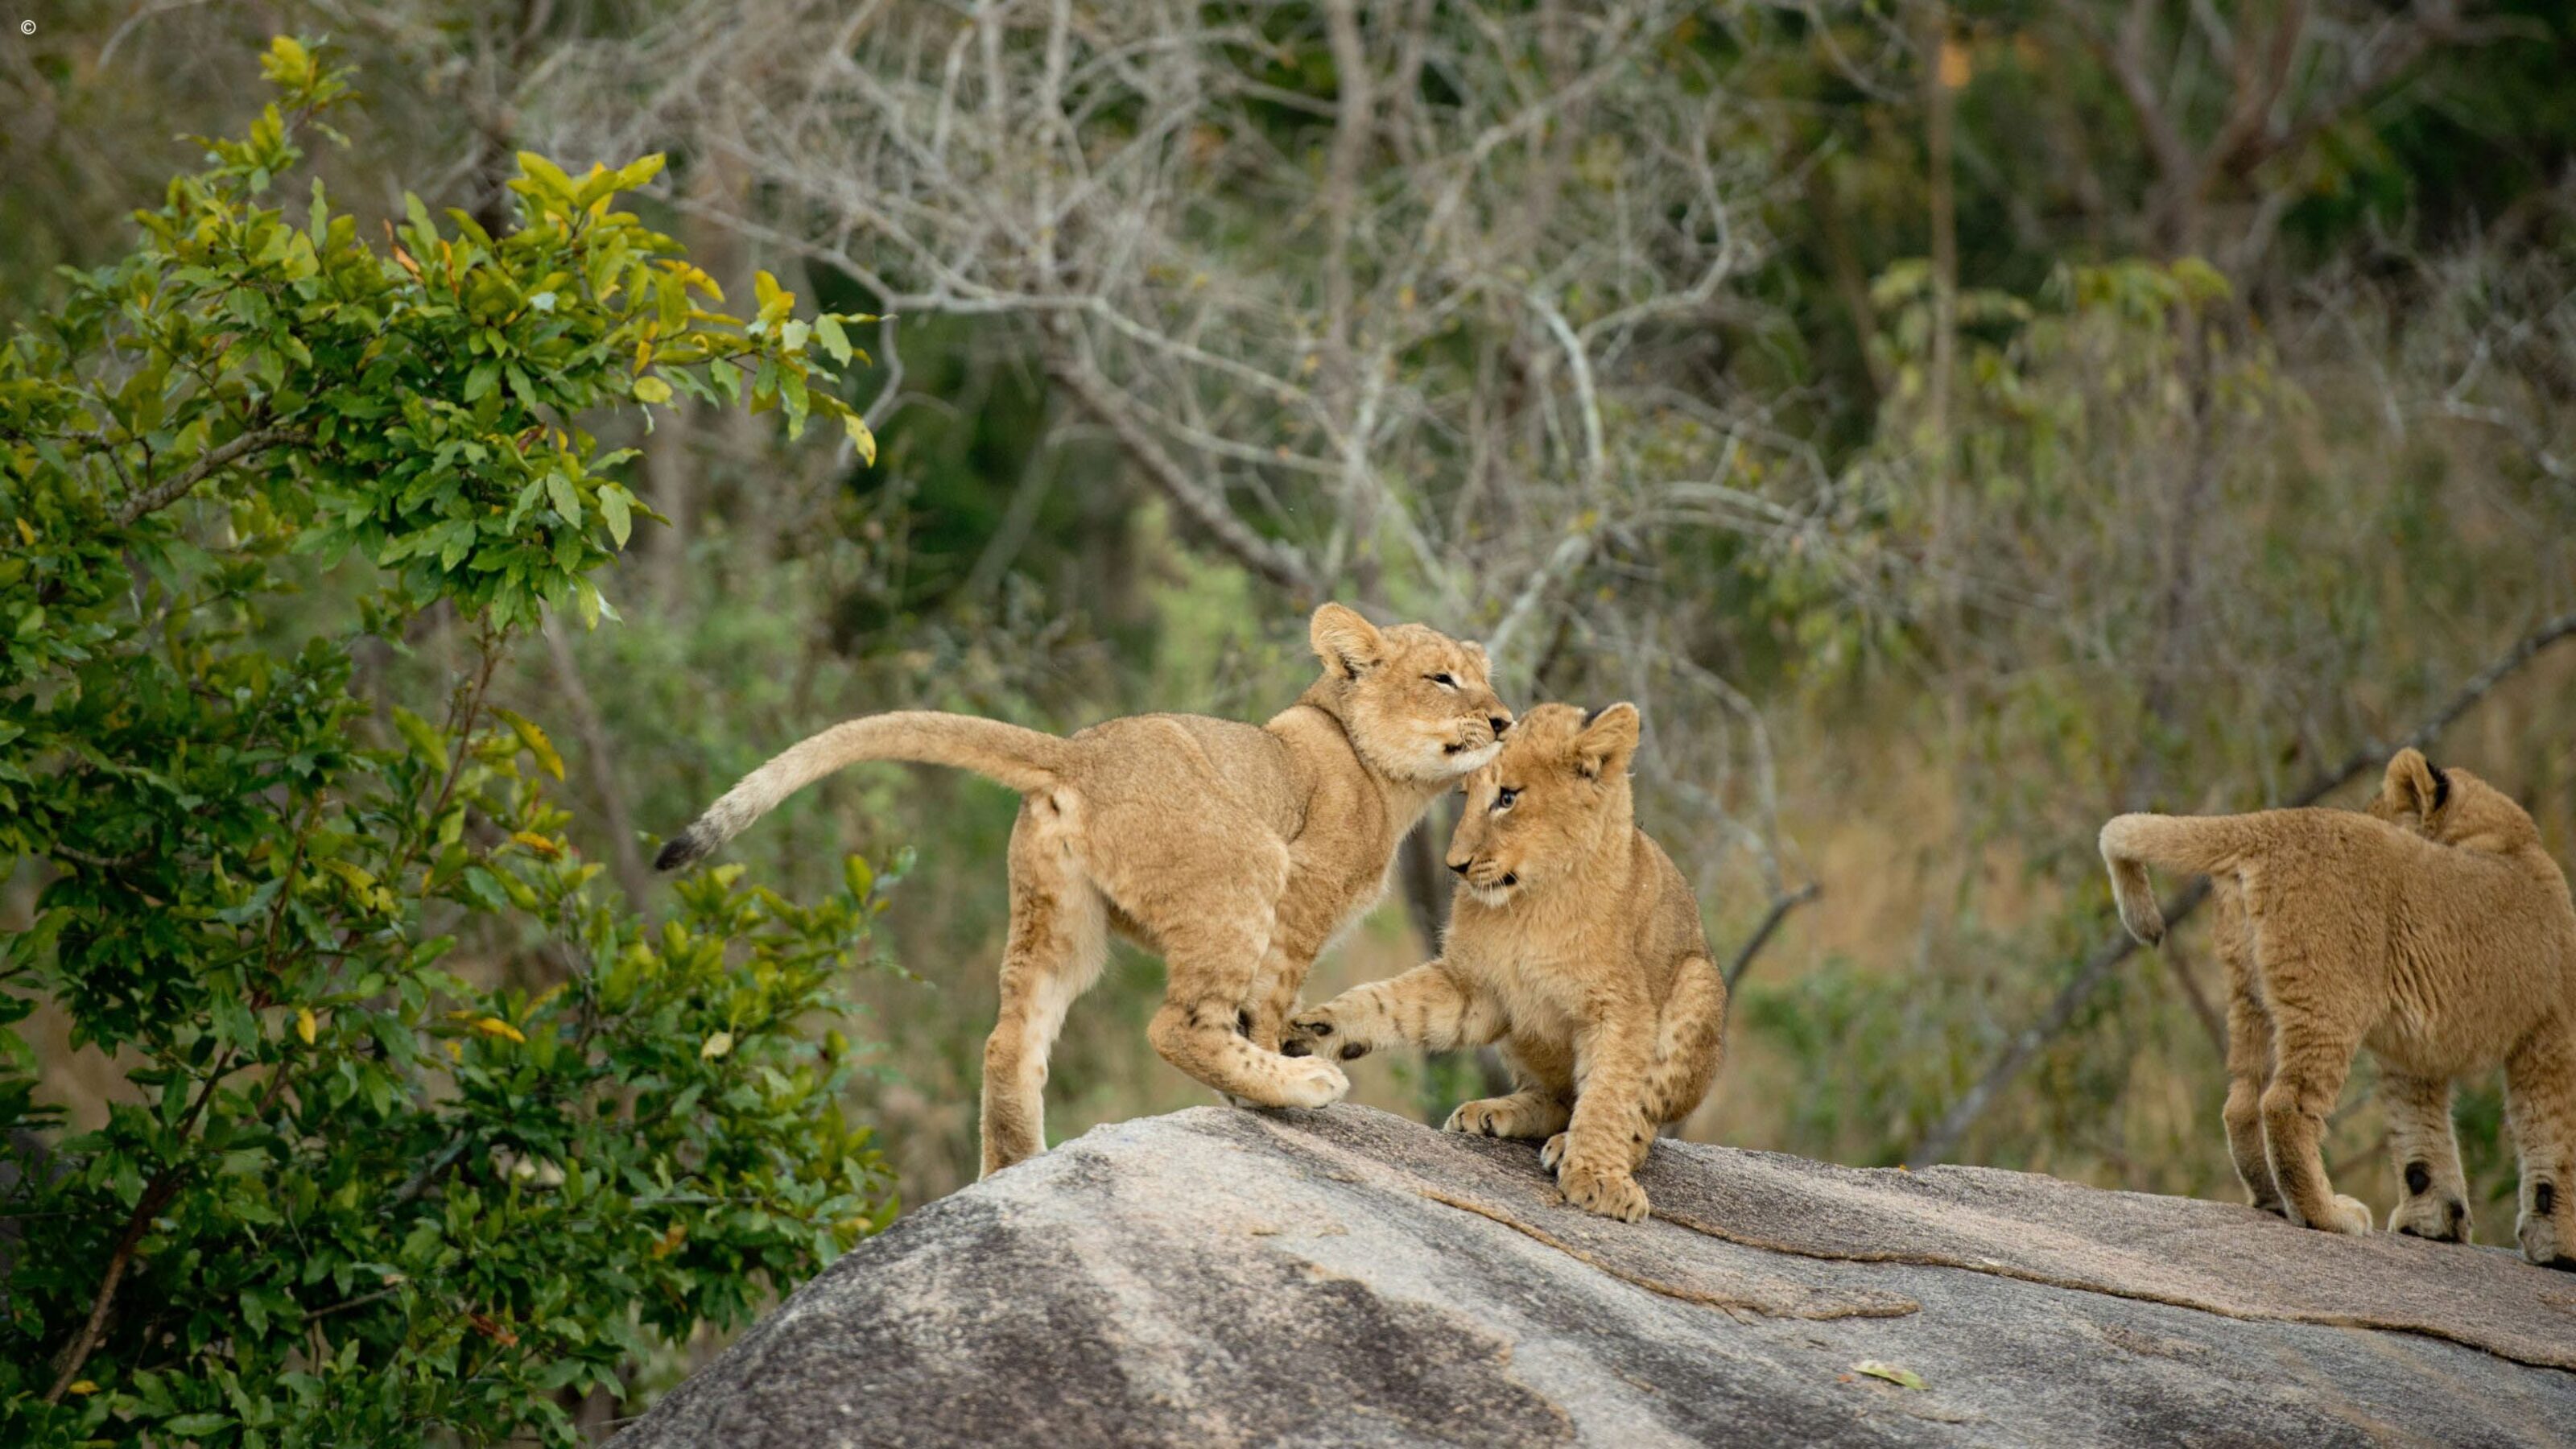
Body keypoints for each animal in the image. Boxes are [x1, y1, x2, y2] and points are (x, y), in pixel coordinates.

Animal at [656, 603, 1514, 1176]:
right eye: (1444, 678)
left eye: (1485, 681)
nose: (1506, 721)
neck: (1388, 786)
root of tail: (1077, 755)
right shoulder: (1302, 896)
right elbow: (1266, 1005)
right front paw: (1271, 1080)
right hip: (1244, 869)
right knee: (1177, 1025)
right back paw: (1299, 1087)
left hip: (1060, 918)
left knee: (1009, 1043)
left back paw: (1012, 1168)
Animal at [1282, 702, 1726, 1223]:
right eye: (1466, 795)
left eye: (1508, 797)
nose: (1454, 865)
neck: (1530, 905)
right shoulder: (1475, 988)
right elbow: (1388, 1003)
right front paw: (1314, 1029)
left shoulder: (1622, 1007)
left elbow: (1610, 1095)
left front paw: (1597, 1179)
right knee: (1557, 1097)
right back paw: (1493, 1114)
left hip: (1697, 985)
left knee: (1640, 1120)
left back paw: (1568, 1146)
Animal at [2101, 748, 2576, 1267]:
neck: (2503, 841)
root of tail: (2270, 825)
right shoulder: (2553, 1030)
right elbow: (2554, 1136)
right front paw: (2560, 1245)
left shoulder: (2415, 1052)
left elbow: (2419, 1133)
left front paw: (2432, 1223)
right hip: (2328, 1000)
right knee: (2286, 1104)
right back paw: (2326, 1213)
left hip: (2251, 999)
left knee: (2242, 1102)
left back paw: (2274, 1199)